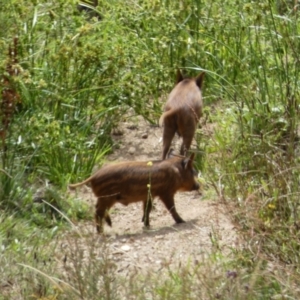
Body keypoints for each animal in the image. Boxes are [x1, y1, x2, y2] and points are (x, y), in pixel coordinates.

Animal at [68, 152, 199, 234]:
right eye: (192, 171)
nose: (198, 186)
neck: (176, 172)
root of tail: (93, 176)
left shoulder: (148, 195)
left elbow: (147, 209)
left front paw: (146, 225)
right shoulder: (166, 192)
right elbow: (171, 208)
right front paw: (182, 221)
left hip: (105, 198)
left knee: (99, 210)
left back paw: (109, 226)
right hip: (107, 197)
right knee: (98, 212)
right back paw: (102, 232)